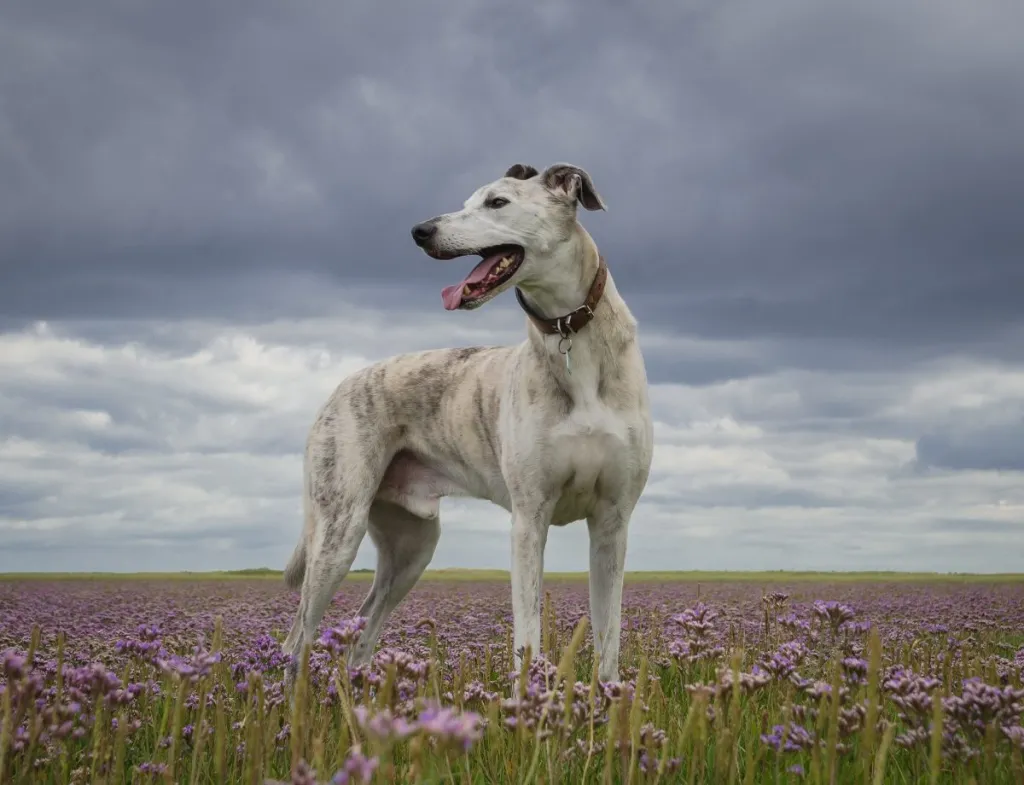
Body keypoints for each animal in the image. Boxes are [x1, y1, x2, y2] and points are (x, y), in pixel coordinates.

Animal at [280, 162, 651, 683]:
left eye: (497, 202)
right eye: (466, 201)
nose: (420, 231)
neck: (569, 335)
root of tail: (339, 388)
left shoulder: (613, 523)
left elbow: (609, 642)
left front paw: (610, 698)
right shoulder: (529, 519)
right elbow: (527, 635)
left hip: (411, 548)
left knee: (364, 629)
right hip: (337, 531)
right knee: (297, 639)